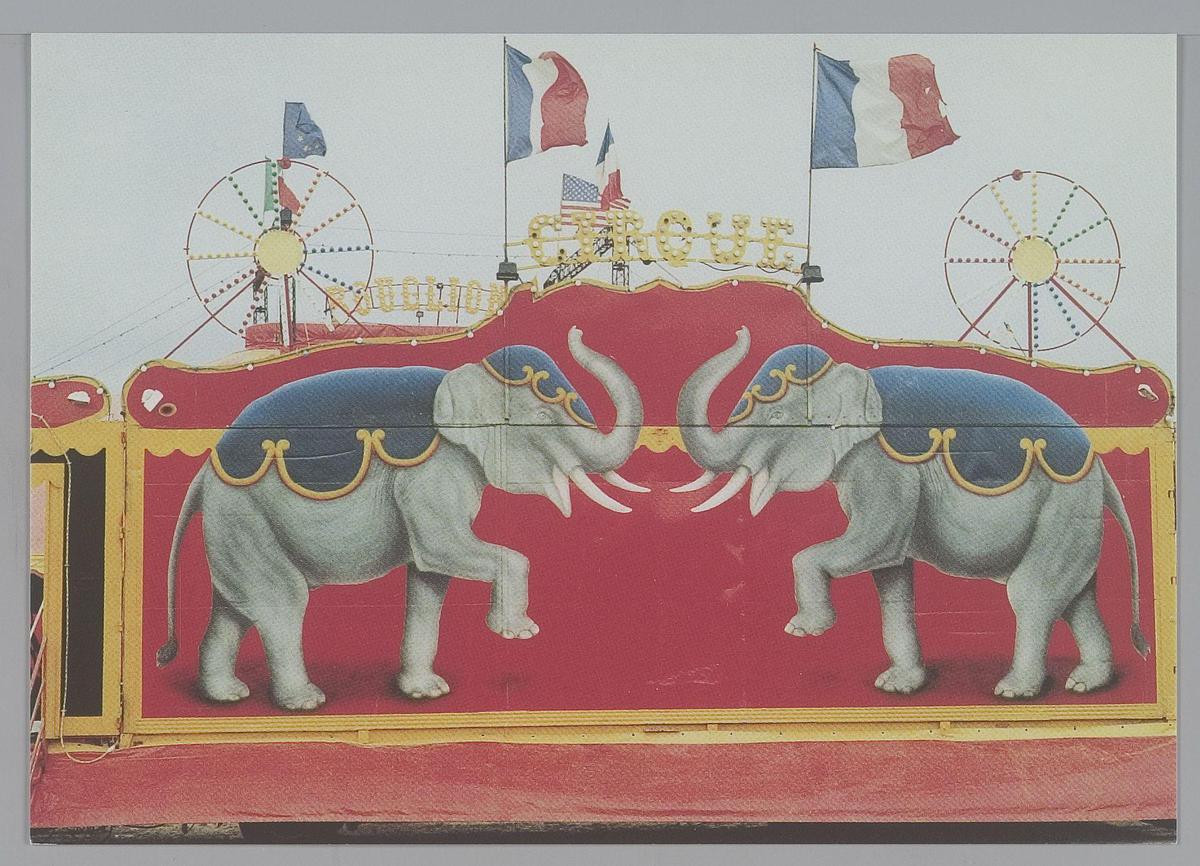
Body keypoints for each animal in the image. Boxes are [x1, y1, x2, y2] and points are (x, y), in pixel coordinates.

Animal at [156, 327, 646, 710]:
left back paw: (226, 696)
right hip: (243, 515)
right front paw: (517, 632)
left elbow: (430, 578)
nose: (577, 330)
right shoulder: (430, 473)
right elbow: (444, 549)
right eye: (543, 414)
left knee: (235, 607)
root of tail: (204, 473)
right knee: (281, 599)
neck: (463, 377)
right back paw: (305, 702)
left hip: (235, 526)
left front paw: (426, 693)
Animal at [675, 327, 1148, 699]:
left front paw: (805, 629)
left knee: (1032, 592)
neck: (854, 378)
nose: (740, 331)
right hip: (1075, 514)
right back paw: (1087, 683)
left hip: (1065, 505)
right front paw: (898, 686)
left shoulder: (886, 467)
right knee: (1076, 597)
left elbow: (872, 543)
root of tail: (1101, 467)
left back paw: (1016, 691)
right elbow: (890, 573)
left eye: (775, 415)